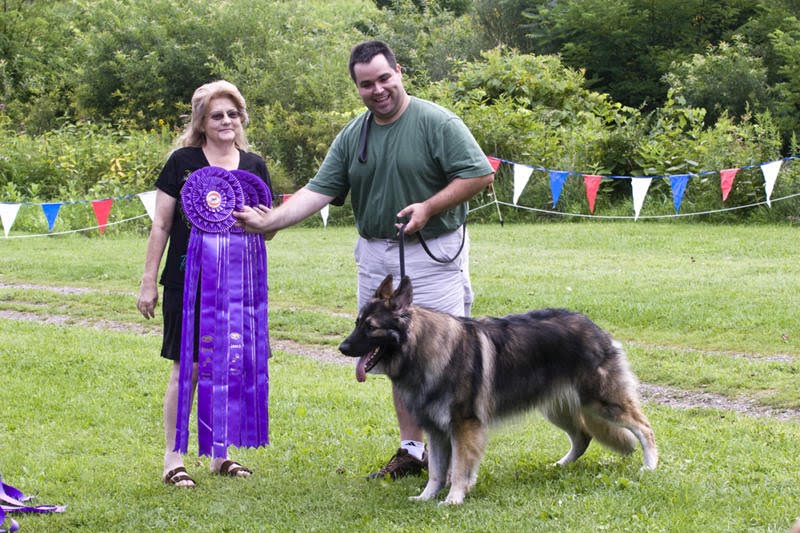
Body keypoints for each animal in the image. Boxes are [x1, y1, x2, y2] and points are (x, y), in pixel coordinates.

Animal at [338, 274, 656, 502]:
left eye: (370, 327)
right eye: (357, 323)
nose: (342, 348)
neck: (423, 349)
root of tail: (596, 329)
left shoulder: (464, 427)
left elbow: (459, 470)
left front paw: (453, 499)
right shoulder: (437, 431)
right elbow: (437, 472)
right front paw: (426, 497)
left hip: (603, 402)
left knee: (645, 428)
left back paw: (650, 467)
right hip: (558, 409)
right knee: (583, 436)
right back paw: (560, 466)